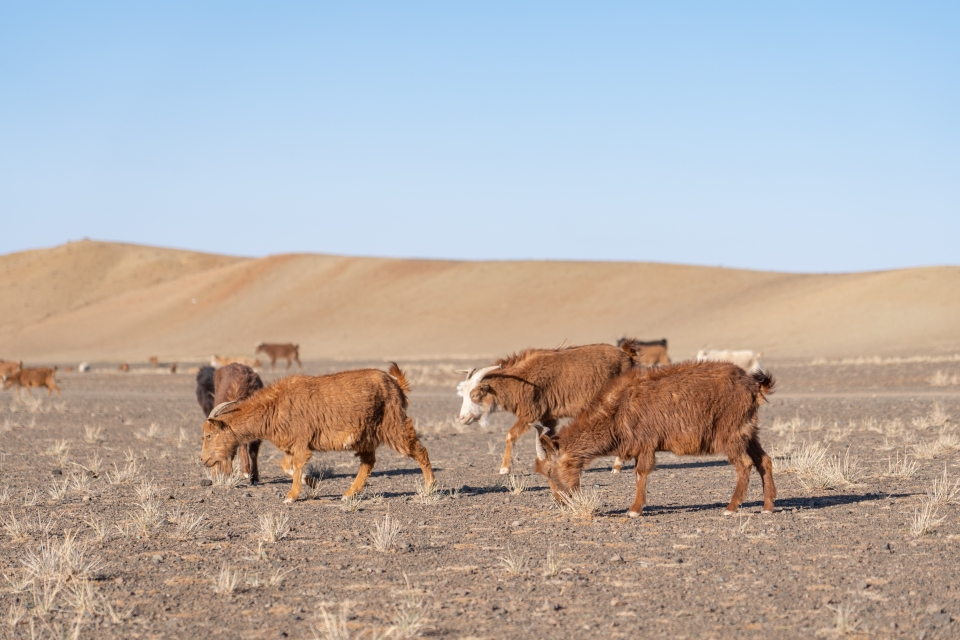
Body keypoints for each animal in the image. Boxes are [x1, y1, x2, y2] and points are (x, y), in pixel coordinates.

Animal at [202, 362, 436, 502]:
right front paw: (312, 482)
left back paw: (429, 486)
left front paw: (291, 495)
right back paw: (349, 493)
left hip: (394, 426)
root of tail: (396, 384)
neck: (275, 404)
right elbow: (286, 466)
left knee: (420, 450)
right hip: (365, 437)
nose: (204, 460)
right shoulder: (293, 445)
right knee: (368, 462)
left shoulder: (300, 443)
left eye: (209, 435)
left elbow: (296, 466)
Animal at [460, 340, 640, 476]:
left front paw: (505, 468)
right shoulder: (549, 416)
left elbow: (511, 435)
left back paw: (617, 466)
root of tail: (627, 356)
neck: (520, 378)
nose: (463, 418)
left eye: (475, 395)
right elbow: (547, 437)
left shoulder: (530, 413)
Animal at [532, 362, 780, 516]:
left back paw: (731, 507)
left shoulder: (646, 443)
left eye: (550, 471)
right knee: (764, 461)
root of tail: (753, 386)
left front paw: (634, 510)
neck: (617, 408)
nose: (561, 501)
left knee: (745, 464)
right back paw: (767, 507)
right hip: (748, 432)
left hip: (731, 434)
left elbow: (641, 473)